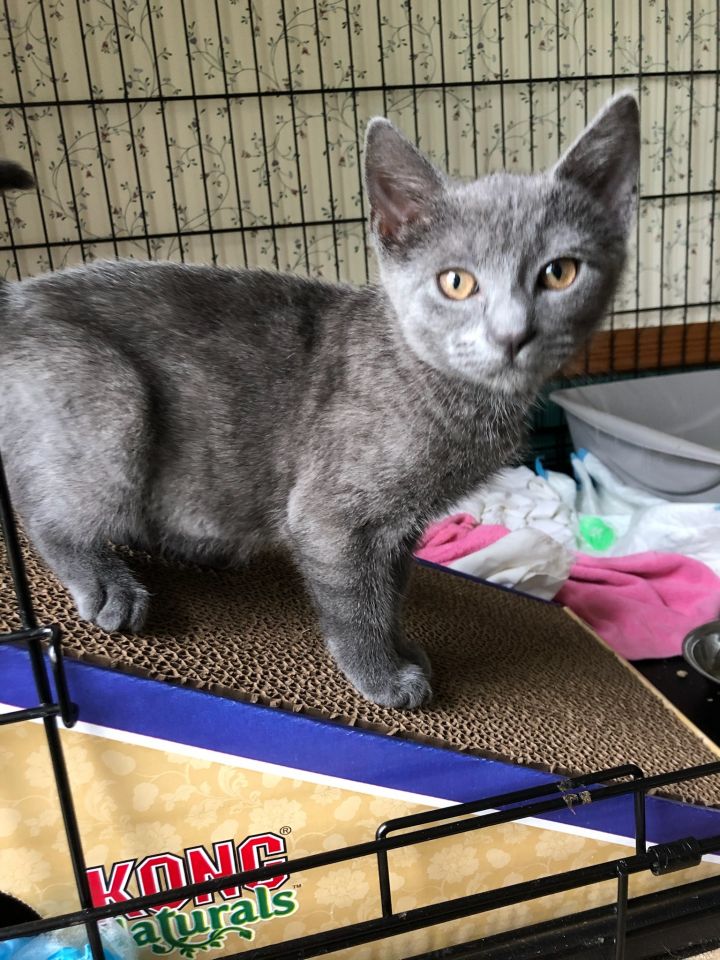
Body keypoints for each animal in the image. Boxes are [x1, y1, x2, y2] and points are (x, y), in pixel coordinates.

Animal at [0, 94, 640, 708]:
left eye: (560, 273)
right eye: (456, 282)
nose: (512, 334)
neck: (450, 391)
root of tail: (15, 300)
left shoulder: (400, 525)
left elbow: (391, 588)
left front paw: (401, 645)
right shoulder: (332, 514)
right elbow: (356, 599)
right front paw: (380, 672)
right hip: (113, 402)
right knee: (45, 506)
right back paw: (107, 582)